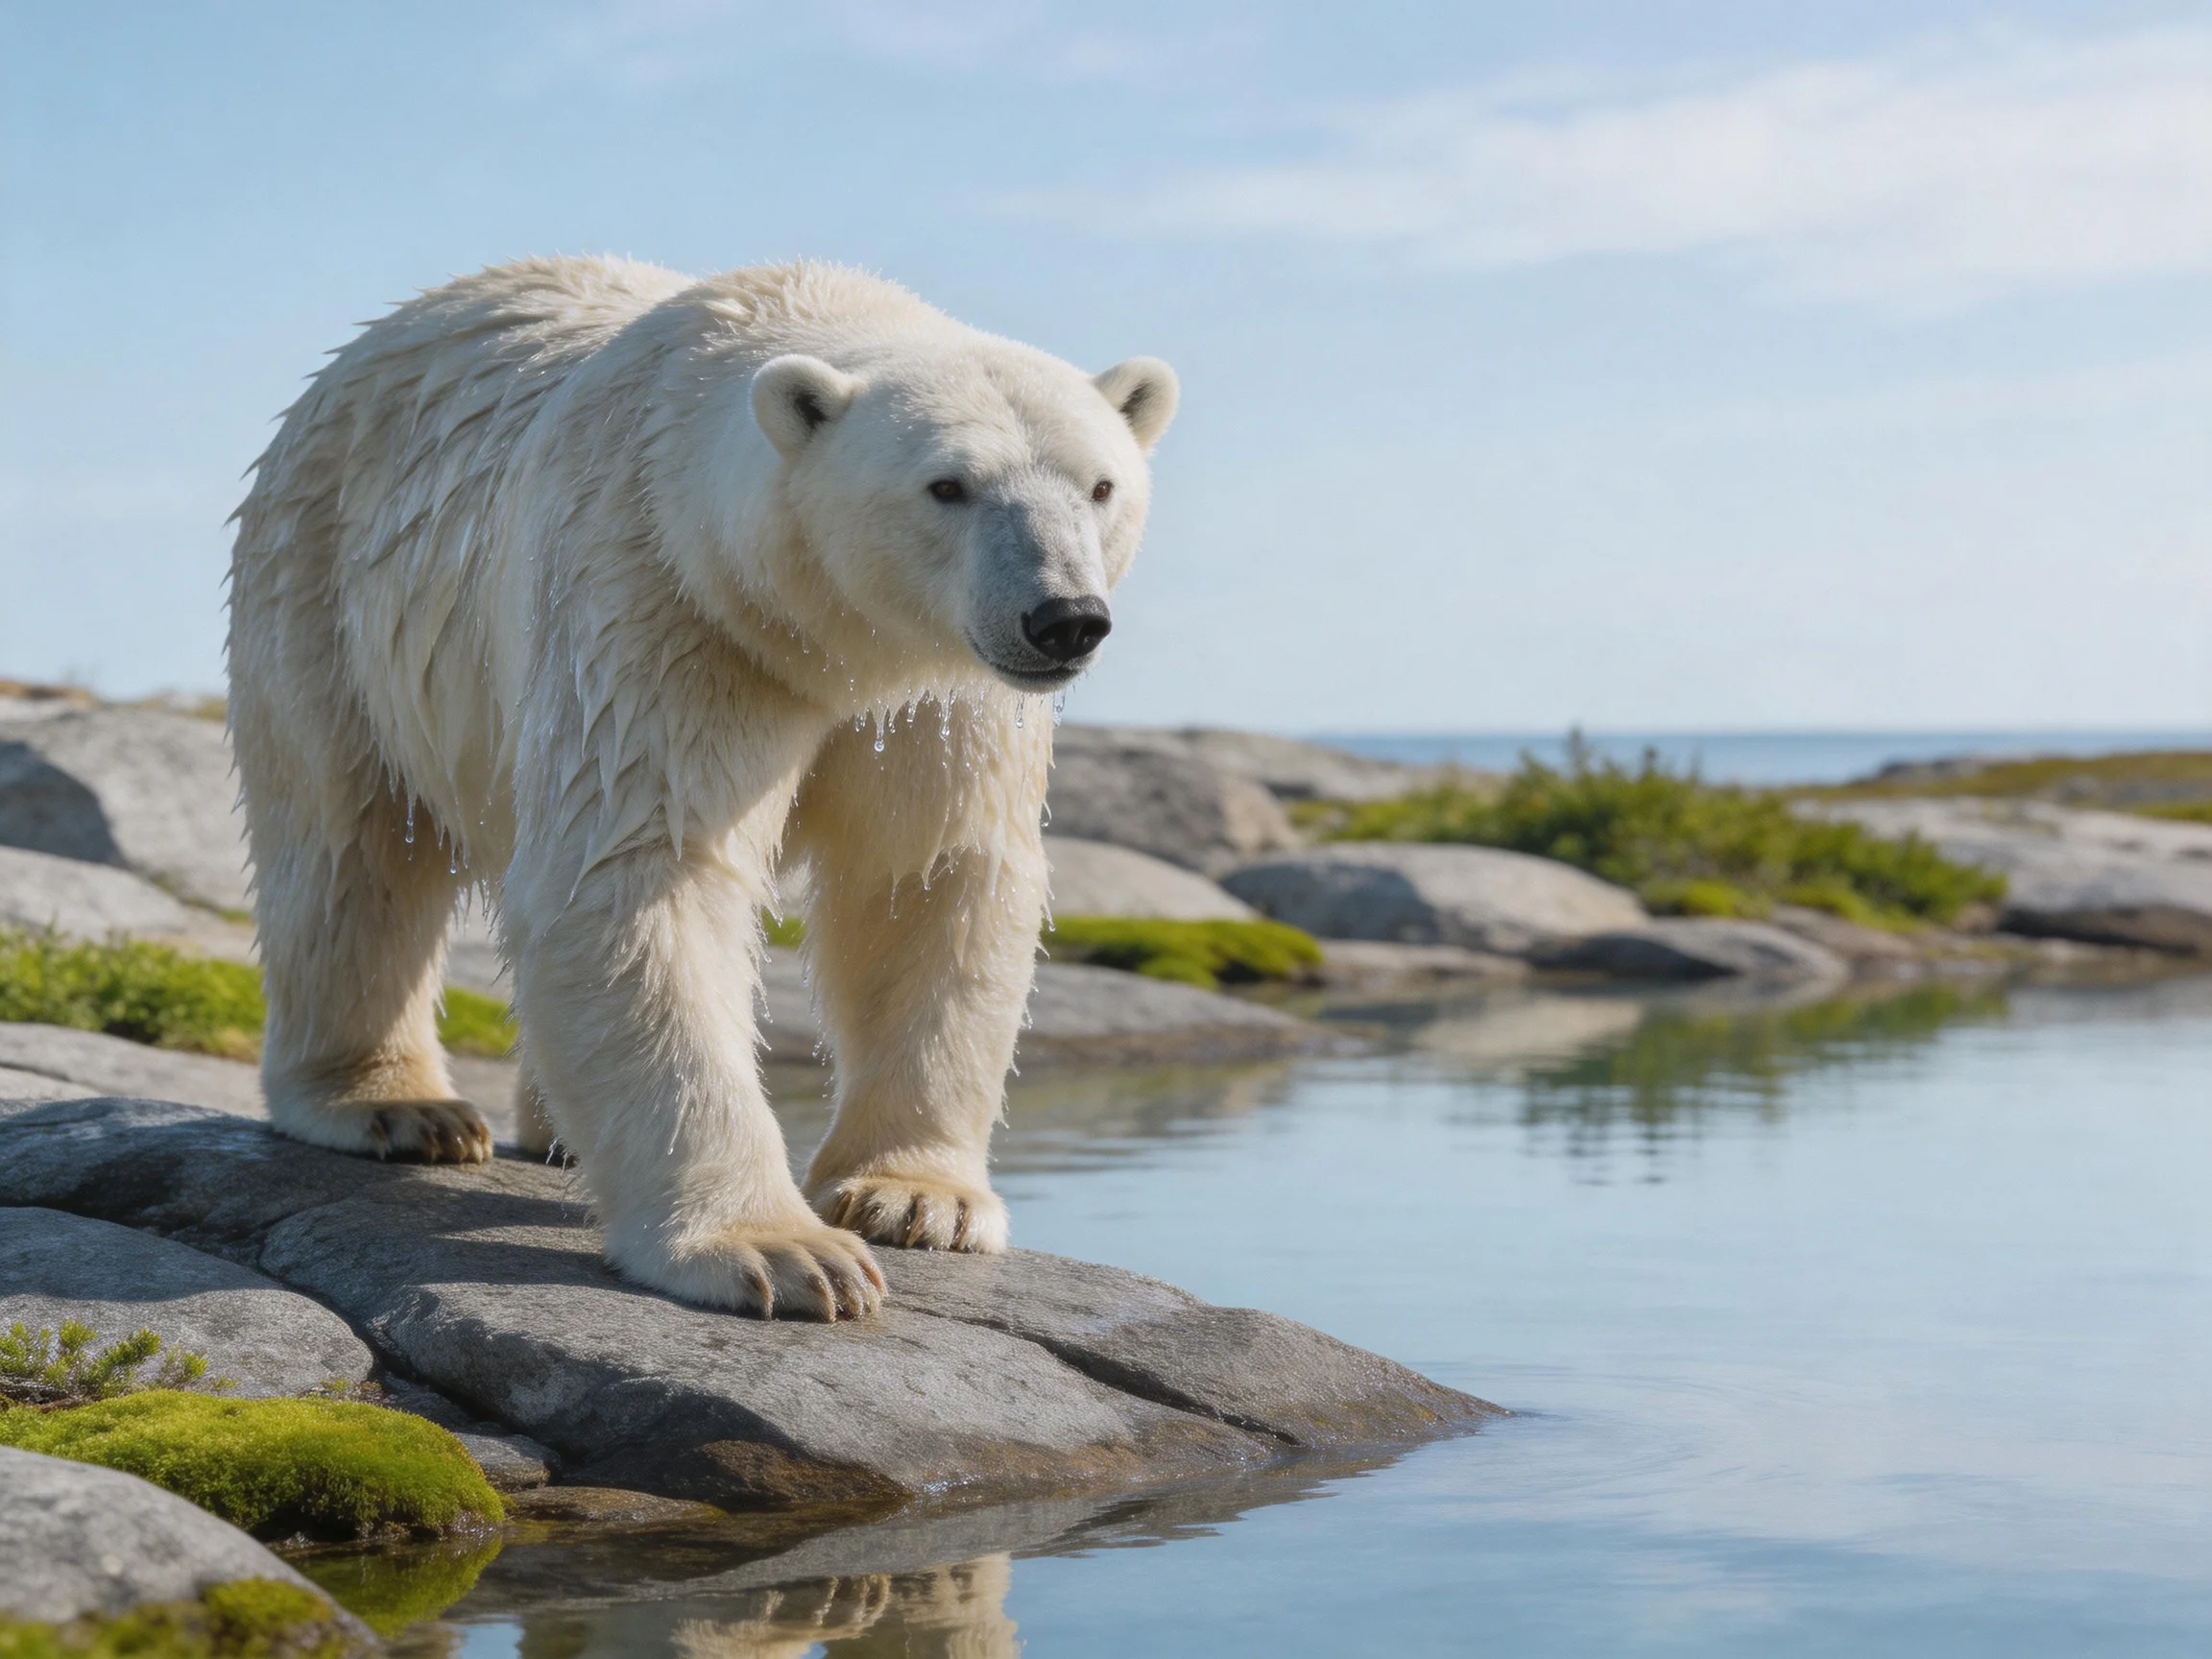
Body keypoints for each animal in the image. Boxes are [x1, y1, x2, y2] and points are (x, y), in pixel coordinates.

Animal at [225, 256, 1177, 1319]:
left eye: (1100, 485)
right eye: (948, 485)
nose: (1064, 618)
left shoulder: (938, 693)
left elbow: (927, 879)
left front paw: (916, 1199)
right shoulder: (663, 604)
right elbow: (644, 874)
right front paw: (786, 1255)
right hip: (331, 589)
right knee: (349, 844)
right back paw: (398, 1106)